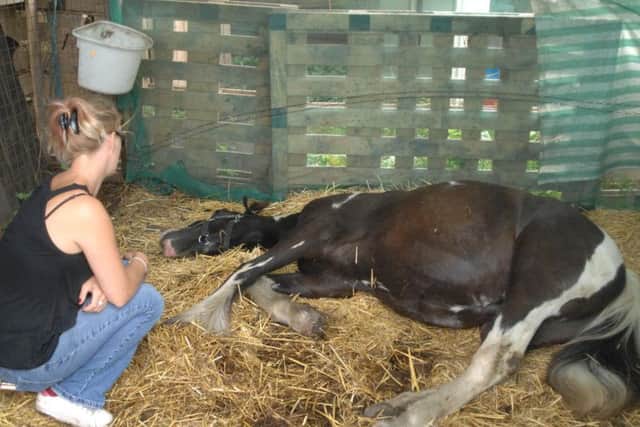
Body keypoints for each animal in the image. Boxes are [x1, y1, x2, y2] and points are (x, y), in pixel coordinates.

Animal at [160, 180, 640, 426]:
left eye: (215, 224)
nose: (166, 240)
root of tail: (621, 276)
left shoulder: (311, 236)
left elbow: (243, 273)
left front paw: (197, 316)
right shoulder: (333, 280)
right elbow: (263, 284)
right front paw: (305, 319)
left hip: (533, 290)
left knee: (495, 363)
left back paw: (409, 415)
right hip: (511, 317)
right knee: (485, 363)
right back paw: (396, 405)